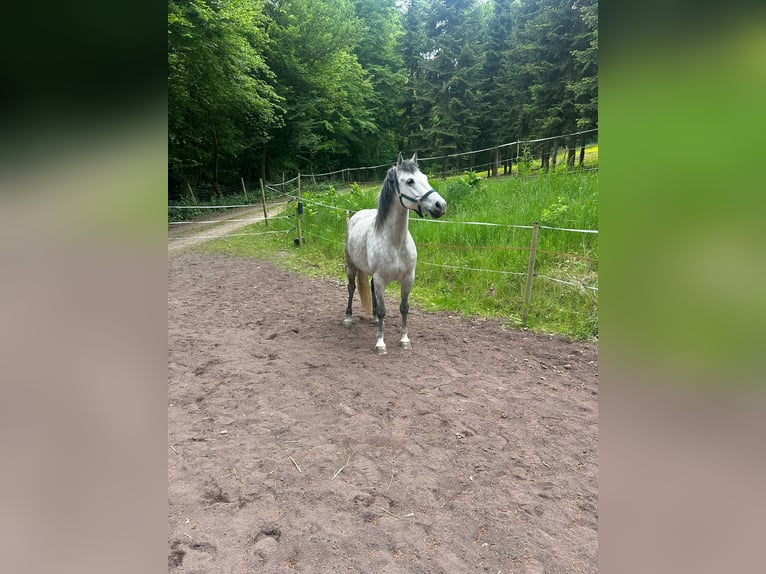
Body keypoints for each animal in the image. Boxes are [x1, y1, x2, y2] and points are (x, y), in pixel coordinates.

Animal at [343, 152, 447, 354]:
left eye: (425, 178)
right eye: (410, 181)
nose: (440, 205)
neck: (396, 242)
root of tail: (355, 216)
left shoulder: (408, 278)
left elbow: (404, 308)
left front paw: (404, 340)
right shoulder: (380, 279)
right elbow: (384, 310)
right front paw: (380, 344)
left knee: (370, 289)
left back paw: (374, 318)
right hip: (351, 266)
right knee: (351, 288)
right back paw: (348, 318)